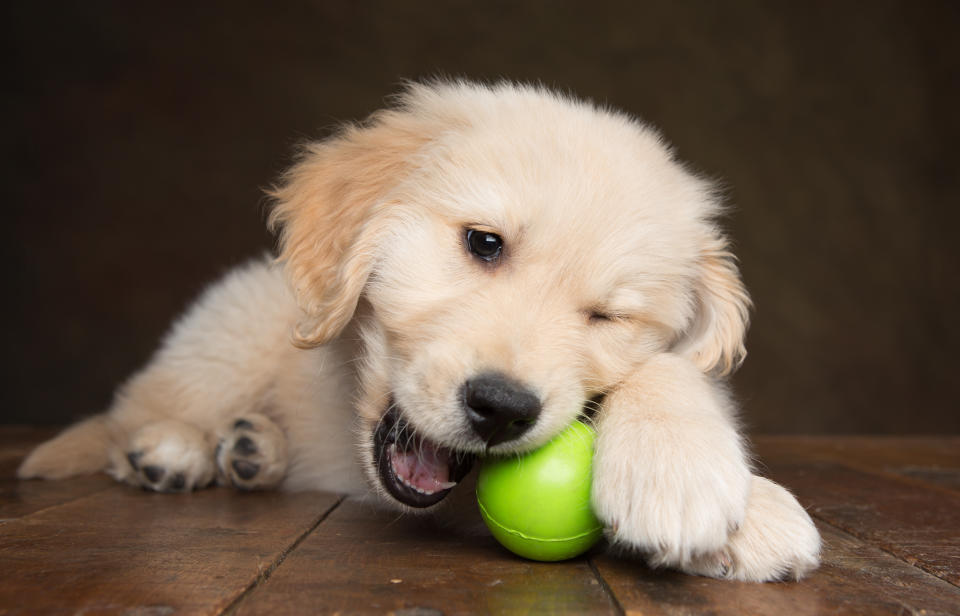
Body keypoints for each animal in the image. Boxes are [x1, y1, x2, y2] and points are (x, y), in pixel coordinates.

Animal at [18, 80, 820, 584]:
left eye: (607, 317)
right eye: (484, 244)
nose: (501, 409)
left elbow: (674, 369)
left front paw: (726, 499)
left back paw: (253, 450)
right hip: (232, 331)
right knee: (142, 404)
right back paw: (173, 449)